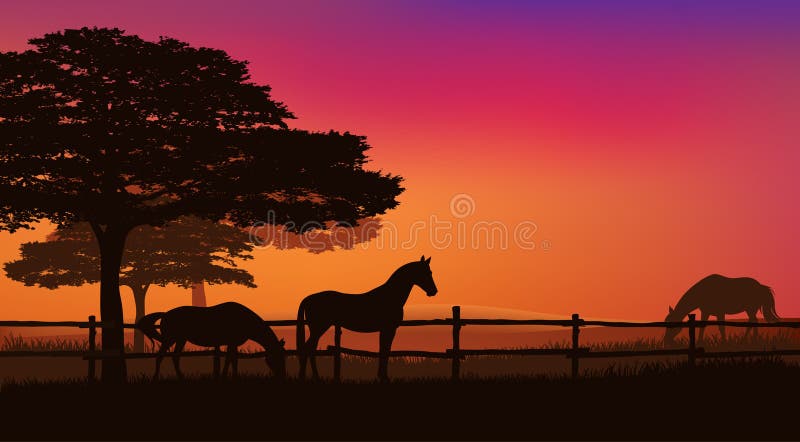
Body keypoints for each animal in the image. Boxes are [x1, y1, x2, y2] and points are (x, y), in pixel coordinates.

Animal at [136, 304, 286, 380]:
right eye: (277, 357)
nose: (282, 376)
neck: (243, 319)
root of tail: (165, 314)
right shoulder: (231, 343)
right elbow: (230, 359)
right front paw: (226, 376)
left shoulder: (233, 344)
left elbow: (232, 359)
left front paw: (232, 376)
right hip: (170, 339)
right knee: (160, 356)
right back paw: (155, 378)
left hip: (181, 340)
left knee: (175, 357)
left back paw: (181, 377)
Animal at [298, 256, 438, 380]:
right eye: (426, 272)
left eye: (430, 272)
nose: (434, 291)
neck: (390, 296)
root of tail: (308, 298)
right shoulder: (389, 329)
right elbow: (385, 351)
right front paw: (384, 377)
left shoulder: (386, 329)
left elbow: (384, 350)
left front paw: (382, 376)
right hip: (319, 327)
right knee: (308, 349)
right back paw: (312, 377)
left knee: (310, 349)